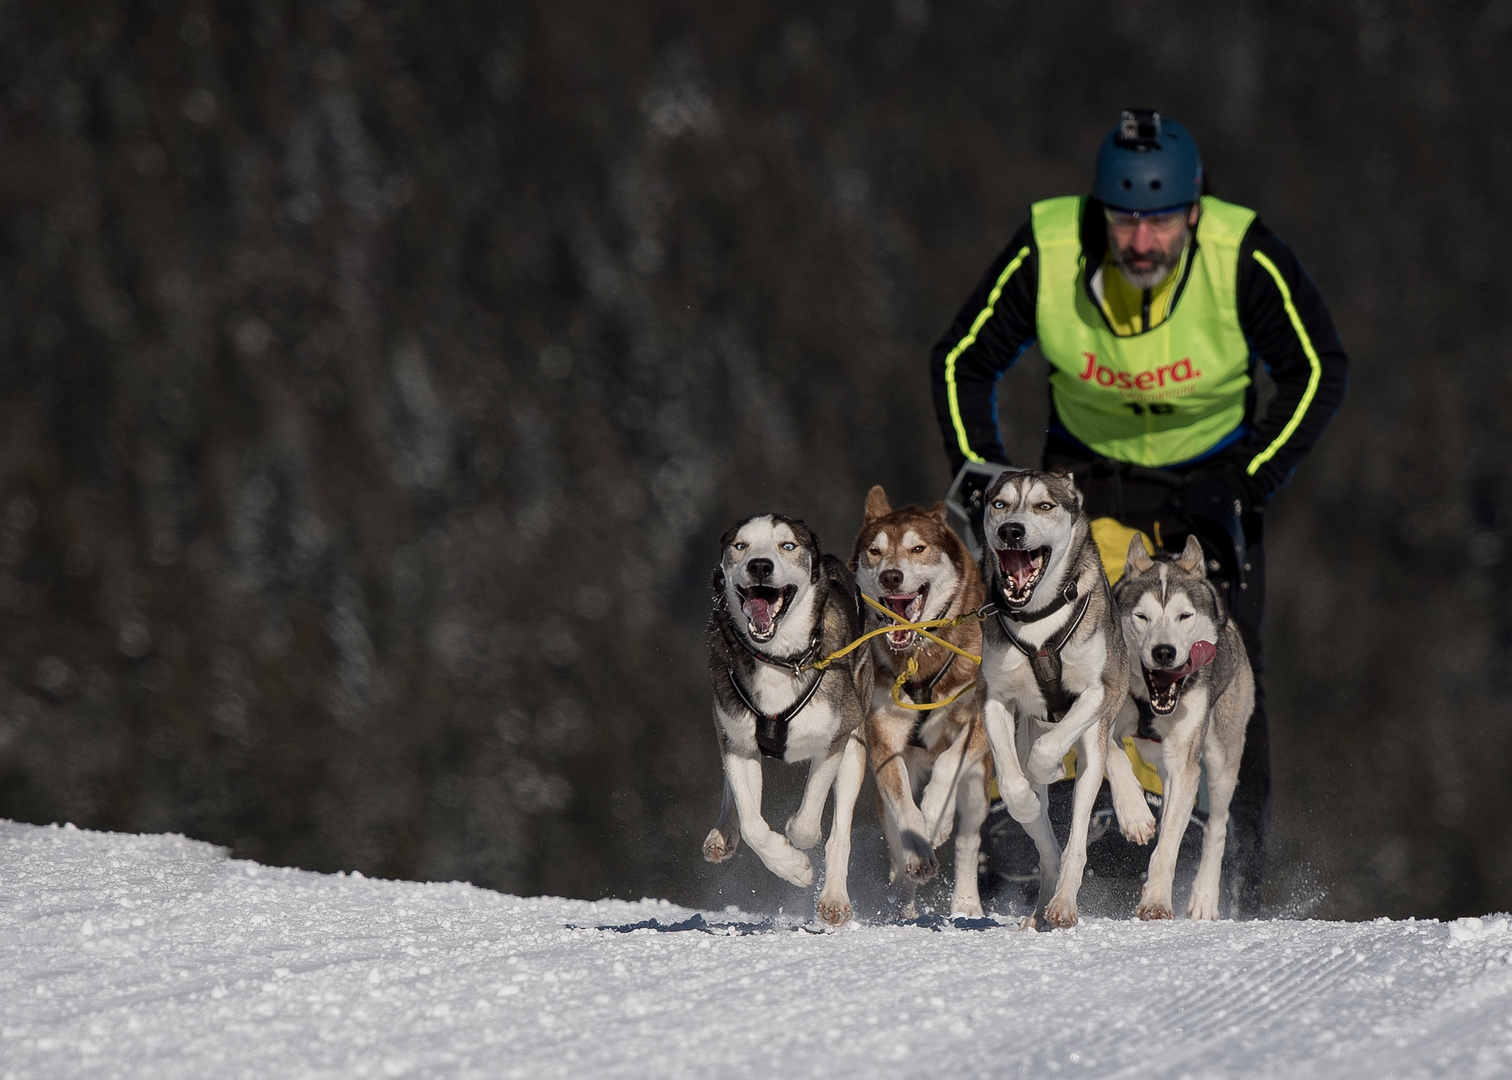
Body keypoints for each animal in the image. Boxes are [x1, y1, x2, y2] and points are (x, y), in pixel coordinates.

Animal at [701, 508, 870, 919]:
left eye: (787, 546)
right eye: (740, 545)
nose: (760, 565)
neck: (779, 658)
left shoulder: (835, 737)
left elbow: (808, 825)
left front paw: (797, 840)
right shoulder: (737, 740)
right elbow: (752, 823)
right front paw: (789, 864)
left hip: (856, 742)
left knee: (840, 827)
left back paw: (834, 899)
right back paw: (722, 833)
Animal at [852, 487, 991, 919]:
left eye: (918, 548)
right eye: (875, 551)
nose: (891, 576)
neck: (922, 656)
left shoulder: (978, 725)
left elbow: (947, 765)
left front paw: (933, 818)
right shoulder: (884, 737)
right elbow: (903, 807)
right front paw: (919, 844)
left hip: (980, 785)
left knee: (968, 839)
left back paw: (965, 902)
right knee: (896, 842)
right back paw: (904, 900)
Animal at [973, 465, 1130, 919]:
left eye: (1044, 505)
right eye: (999, 503)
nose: (1011, 530)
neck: (1038, 621)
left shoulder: (1101, 692)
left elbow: (1047, 753)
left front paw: (1052, 769)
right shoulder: (994, 698)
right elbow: (1013, 785)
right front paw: (1025, 798)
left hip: (1092, 753)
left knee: (1077, 837)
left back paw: (1062, 902)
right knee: (1048, 848)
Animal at [1106, 532, 1257, 919]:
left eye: (1184, 615)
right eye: (1142, 616)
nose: (1163, 652)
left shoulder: (1185, 764)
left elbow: (1171, 843)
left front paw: (1157, 900)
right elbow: (1113, 756)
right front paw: (1134, 815)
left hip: (1219, 760)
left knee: (1215, 828)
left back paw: (1204, 897)